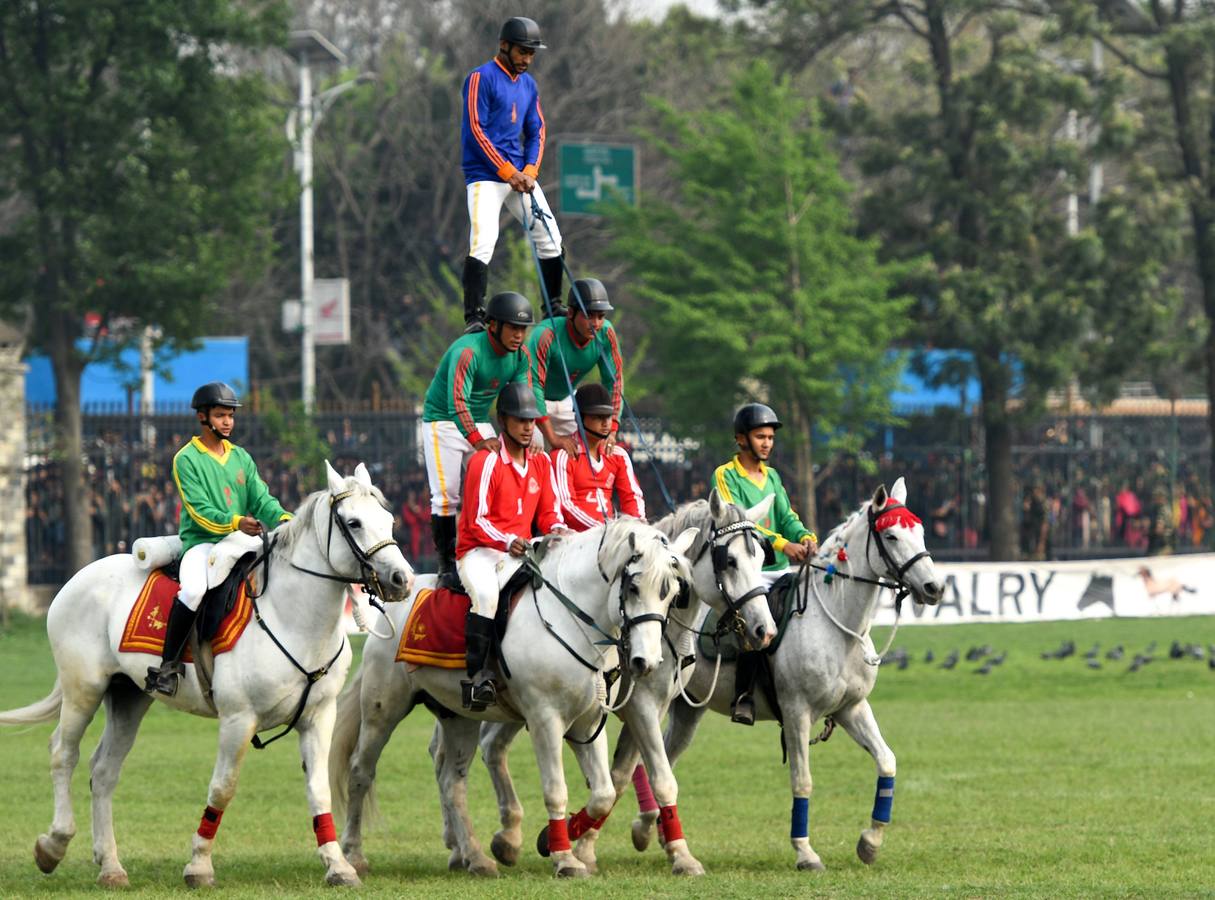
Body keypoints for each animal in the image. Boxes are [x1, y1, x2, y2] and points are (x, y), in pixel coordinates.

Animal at [0, 459, 413, 889]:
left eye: (388, 519)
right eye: (353, 523)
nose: (403, 580)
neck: (292, 616)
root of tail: (77, 579)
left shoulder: (319, 717)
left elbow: (319, 790)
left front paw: (338, 865)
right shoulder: (238, 719)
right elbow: (222, 789)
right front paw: (199, 865)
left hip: (129, 697)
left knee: (104, 771)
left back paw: (110, 866)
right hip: (84, 689)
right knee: (63, 754)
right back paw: (54, 844)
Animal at [328, 514, 699, 874]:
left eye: (673, 593)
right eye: (633, 587)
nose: (645, 661)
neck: (569, 619)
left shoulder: (588, 722)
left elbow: (604, 793)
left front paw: (551, 840)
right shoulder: (546, 719)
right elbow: (556, 789)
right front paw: (564, 858)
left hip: (460, 717)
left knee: (452, 782)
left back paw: (476, 857)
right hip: (383, 709)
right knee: (361, 771)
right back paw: (354, 854)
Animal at [459, 490, 782, 879]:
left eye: (761, 557)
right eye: (729, 560)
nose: (765, 630)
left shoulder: (646, 709)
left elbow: (624, 778)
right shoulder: (638, 707)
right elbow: (640, 778)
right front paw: (574, 845)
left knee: (491, 746)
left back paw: (505, 839)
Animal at [641, 478, 942, 869]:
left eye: (919, 531)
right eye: (890, 536)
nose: (935, 588)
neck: (835, 624)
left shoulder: (851, 708)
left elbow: (887, 762)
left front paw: (870, 841)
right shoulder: (797, 712)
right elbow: (802, 781)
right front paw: (805, 852)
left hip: (688, 709)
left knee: (663, 756)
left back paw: (658, 832)